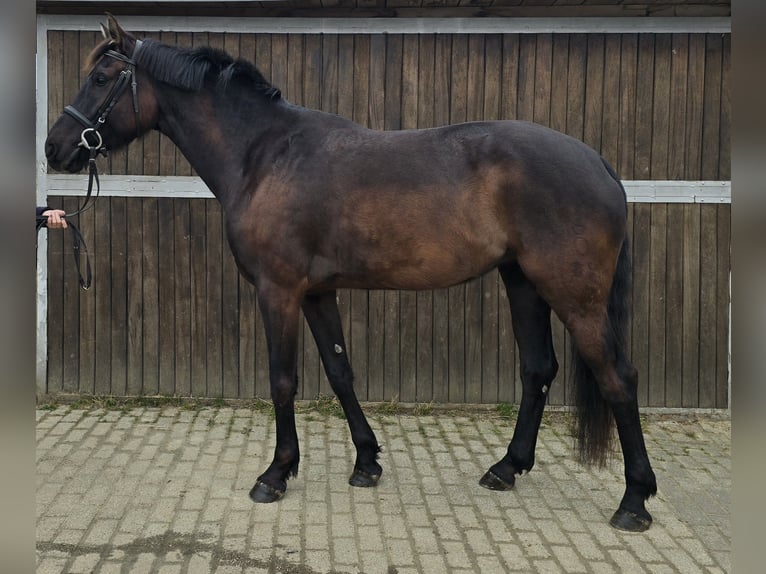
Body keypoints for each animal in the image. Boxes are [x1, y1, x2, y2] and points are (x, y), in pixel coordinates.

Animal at [45, 15, 656, 532]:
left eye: (101, 77)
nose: (56, 147)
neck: (265, 156)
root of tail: (598, 163)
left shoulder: (279, 292)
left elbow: (283, 380)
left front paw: (275, 474)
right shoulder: (318, 293)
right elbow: (340, 373)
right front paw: (366, 461)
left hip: (575, 296)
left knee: (619, 378)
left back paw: (634, 501)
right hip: (523, 282)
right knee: (538, 370)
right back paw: (505, 468)